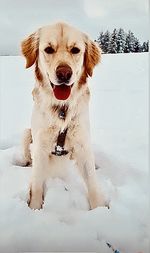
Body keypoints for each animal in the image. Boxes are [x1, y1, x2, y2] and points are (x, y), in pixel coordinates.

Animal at [20, 21, 105, 210]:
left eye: (75, 50)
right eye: (49, 49)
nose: (64, 73)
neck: (62, 110)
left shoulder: (82, 143)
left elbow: (93, 182)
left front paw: (100, 210)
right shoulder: (40, 146)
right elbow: (37, 184)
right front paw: (35, 208)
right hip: (26, 132)